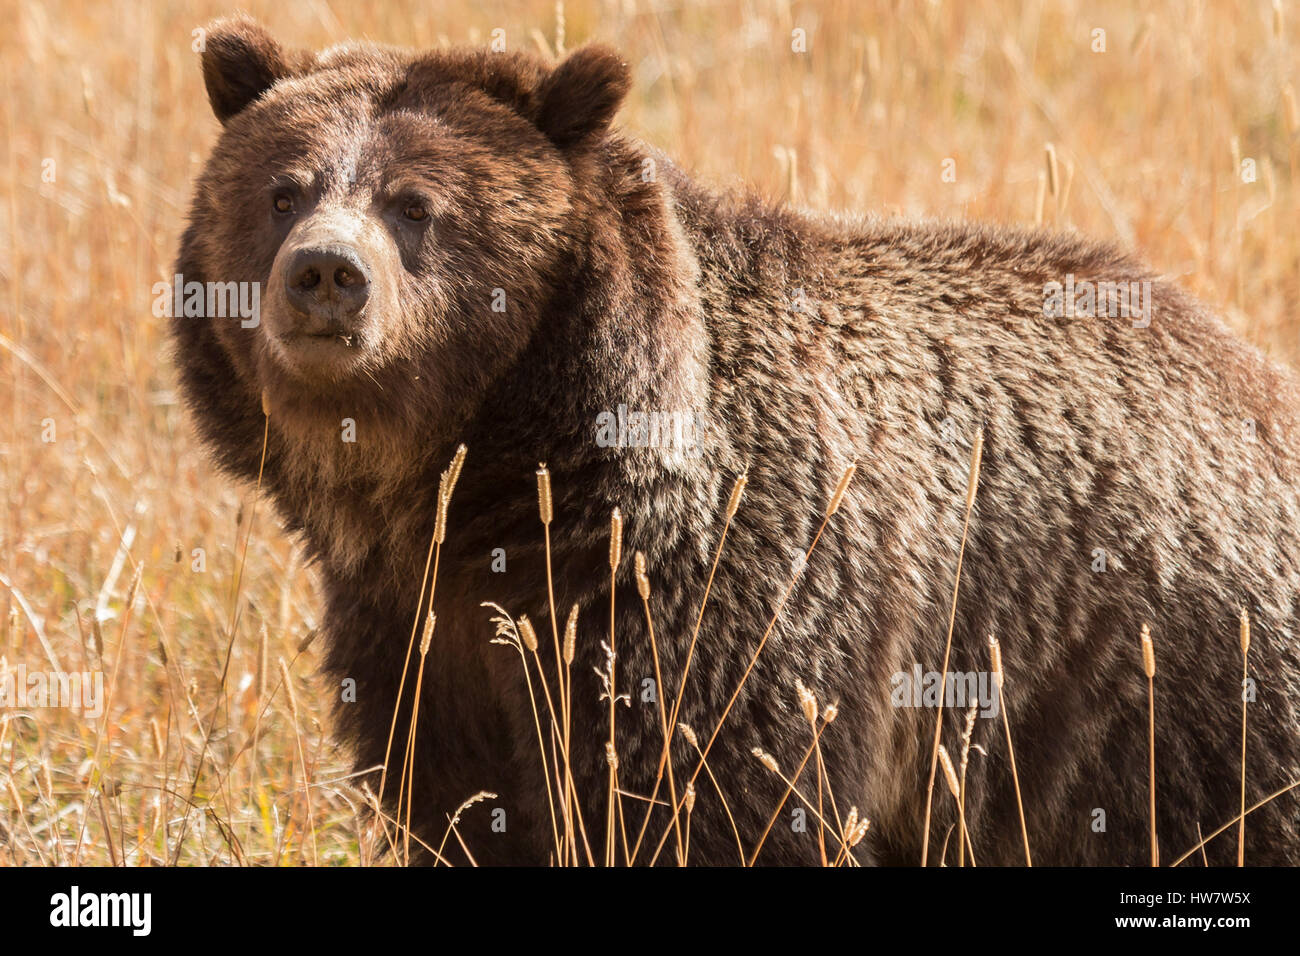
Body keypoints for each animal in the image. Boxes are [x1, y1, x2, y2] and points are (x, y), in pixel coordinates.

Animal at [175, 14, 1300, 868]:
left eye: (417, 205)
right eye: (282, 189)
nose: (326, 273)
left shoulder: (723, 599)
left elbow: (716, 799)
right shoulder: (418, 633)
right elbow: (462, 802)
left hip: (1175, 691)